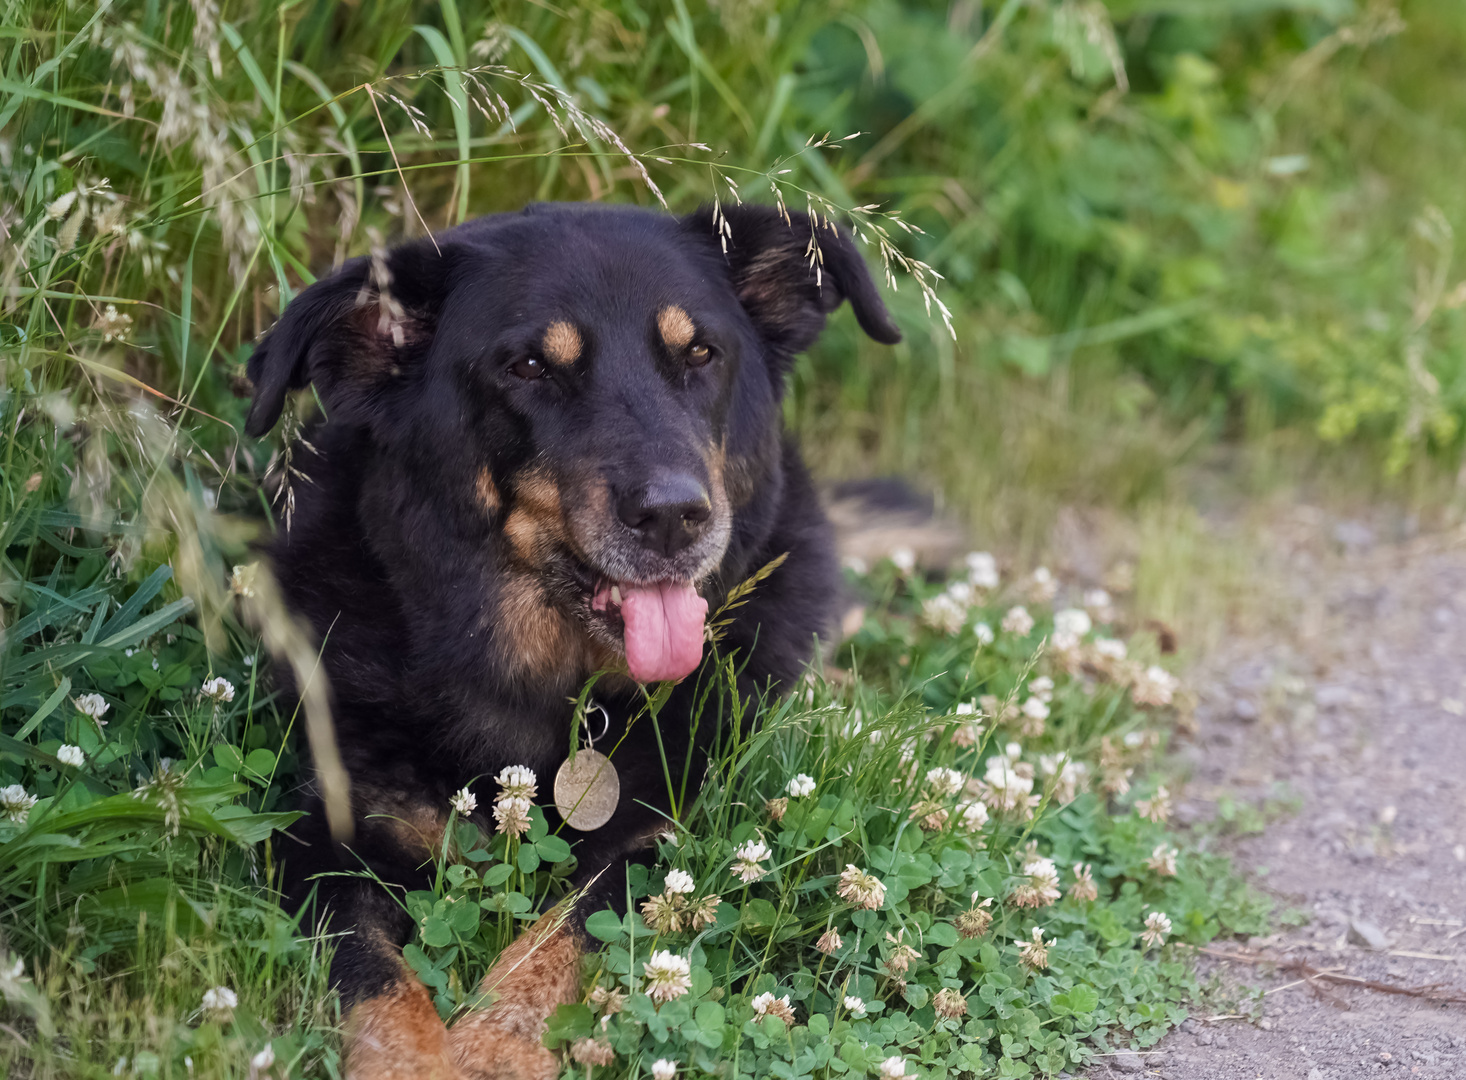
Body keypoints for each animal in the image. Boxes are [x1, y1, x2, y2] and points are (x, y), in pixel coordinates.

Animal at [246, 203, 897, 1078]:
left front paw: (491, 1051)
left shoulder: (657, 844)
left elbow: (556, 940)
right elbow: (375, 976)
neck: (554, 685)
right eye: (528, 367)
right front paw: (419, 1059)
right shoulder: (329, 835)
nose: (674, 516)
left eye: (701, 353)